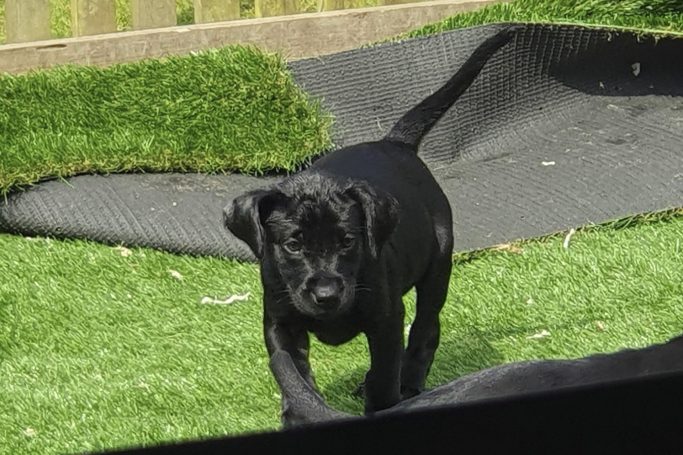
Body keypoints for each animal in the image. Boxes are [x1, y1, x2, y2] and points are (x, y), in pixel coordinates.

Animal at [227, 27, 516, 414]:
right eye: (292, 245)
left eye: (349, 241)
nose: (326, 294)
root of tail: (395, 143)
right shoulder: (280, 321)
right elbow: (294, 374)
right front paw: (299, 406)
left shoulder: (386, 319)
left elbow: (384, 371)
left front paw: (382, 401)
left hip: (437, 266)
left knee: (425, 329)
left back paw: (409, 383)